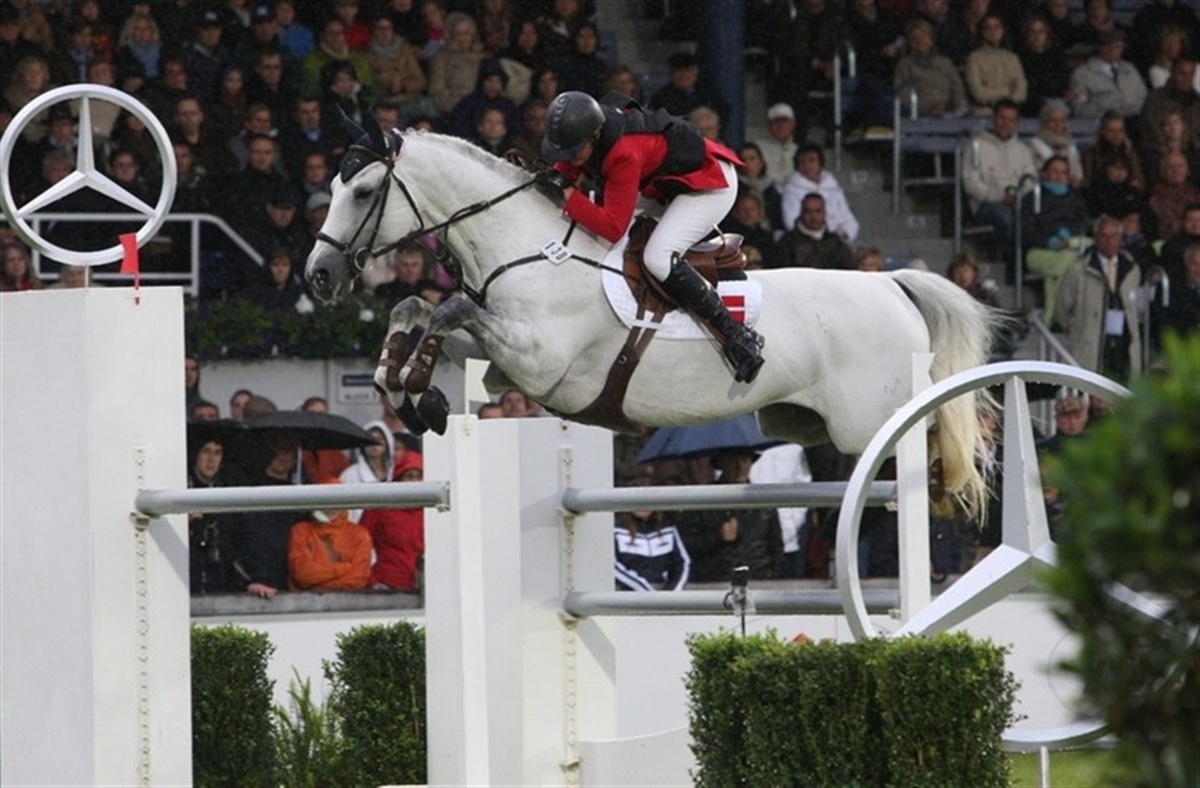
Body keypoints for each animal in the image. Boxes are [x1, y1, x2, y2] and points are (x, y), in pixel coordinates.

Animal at [306, 121, 998, 515]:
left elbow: (448, 308)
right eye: (333, 189)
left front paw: (419, 391)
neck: (527, 246)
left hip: (866, 421)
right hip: (804, 423)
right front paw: (401, 383)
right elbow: (416, 306)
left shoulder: (539, 361)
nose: (318, 275)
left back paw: (945, 488)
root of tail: (890, 283)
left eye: (362, 192)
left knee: (932, 437)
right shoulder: (502, 364)